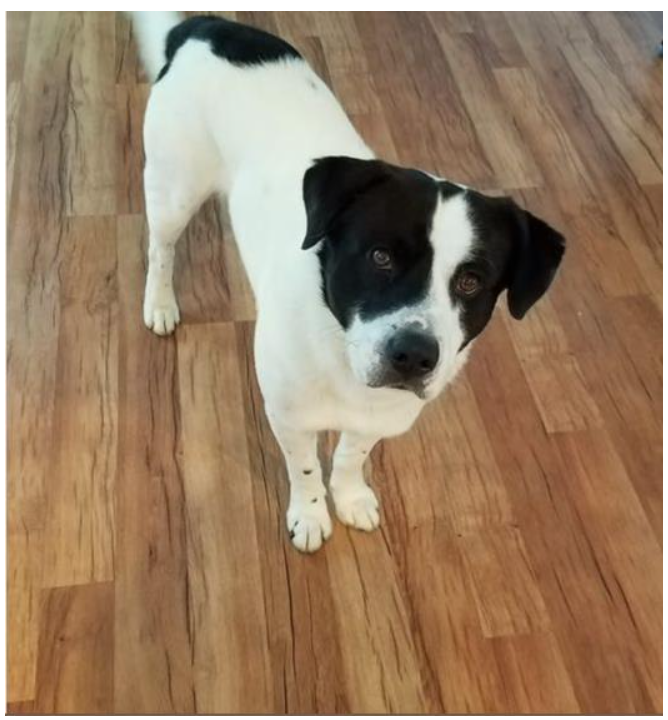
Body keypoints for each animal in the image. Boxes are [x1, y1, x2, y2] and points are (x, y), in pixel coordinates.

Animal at [132, 13, 565, 552]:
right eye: (380, 256)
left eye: (470, 281)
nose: (414, 355)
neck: (340, 350)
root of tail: (202, 26)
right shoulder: (289, 416)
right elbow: (304, 470)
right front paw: (310, 515)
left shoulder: (380, 417)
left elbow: (349, 457)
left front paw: (351, 496)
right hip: (174, 188)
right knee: (160, 248)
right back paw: (160, 304)